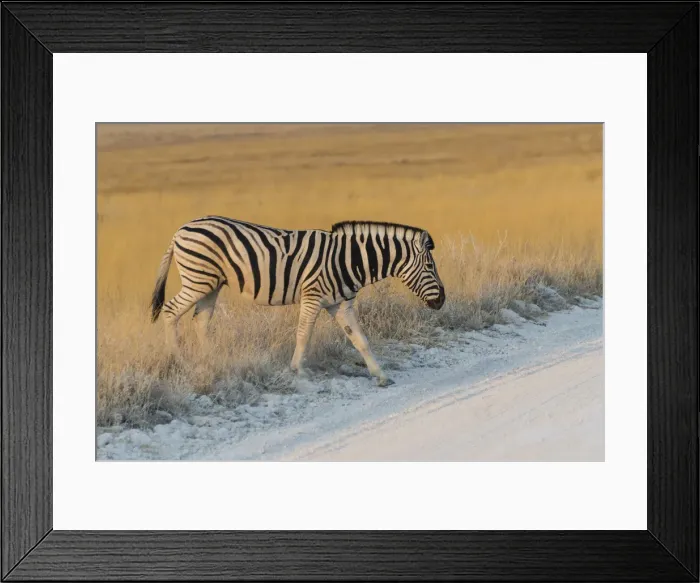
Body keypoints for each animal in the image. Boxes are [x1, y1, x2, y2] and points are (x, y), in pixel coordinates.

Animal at [151, 216, 445, 387]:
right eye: (430, 266)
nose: (442, 301)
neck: (349, 260)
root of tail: (180, 230)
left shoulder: (341, 303)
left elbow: (360, 339)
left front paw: (381, 375)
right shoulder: (312, 295)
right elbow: (304, 333)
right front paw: (298, 370)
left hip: (210, 284)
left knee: (201, 321)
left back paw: (210, 360)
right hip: (197, 279)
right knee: (171, 311)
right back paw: (180, 361)